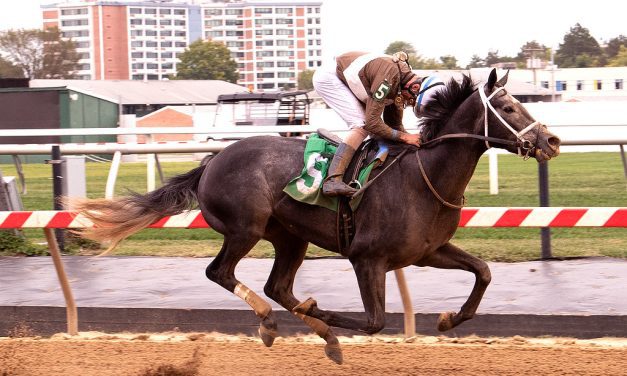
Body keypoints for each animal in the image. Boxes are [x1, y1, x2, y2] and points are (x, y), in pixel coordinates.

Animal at [73, 69, 564, 362]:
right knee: (221, 273)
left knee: (277, 286)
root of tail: (211, 161)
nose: (552, 140)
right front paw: (322, 314)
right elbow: (374, 321)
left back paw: (305, 326)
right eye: (508, 106)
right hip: (245, 227)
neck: (425, 175)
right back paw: (273, 321)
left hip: (291, 237)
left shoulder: (428, 251)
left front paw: (447, 319)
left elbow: (483, 272)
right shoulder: (368, 258)